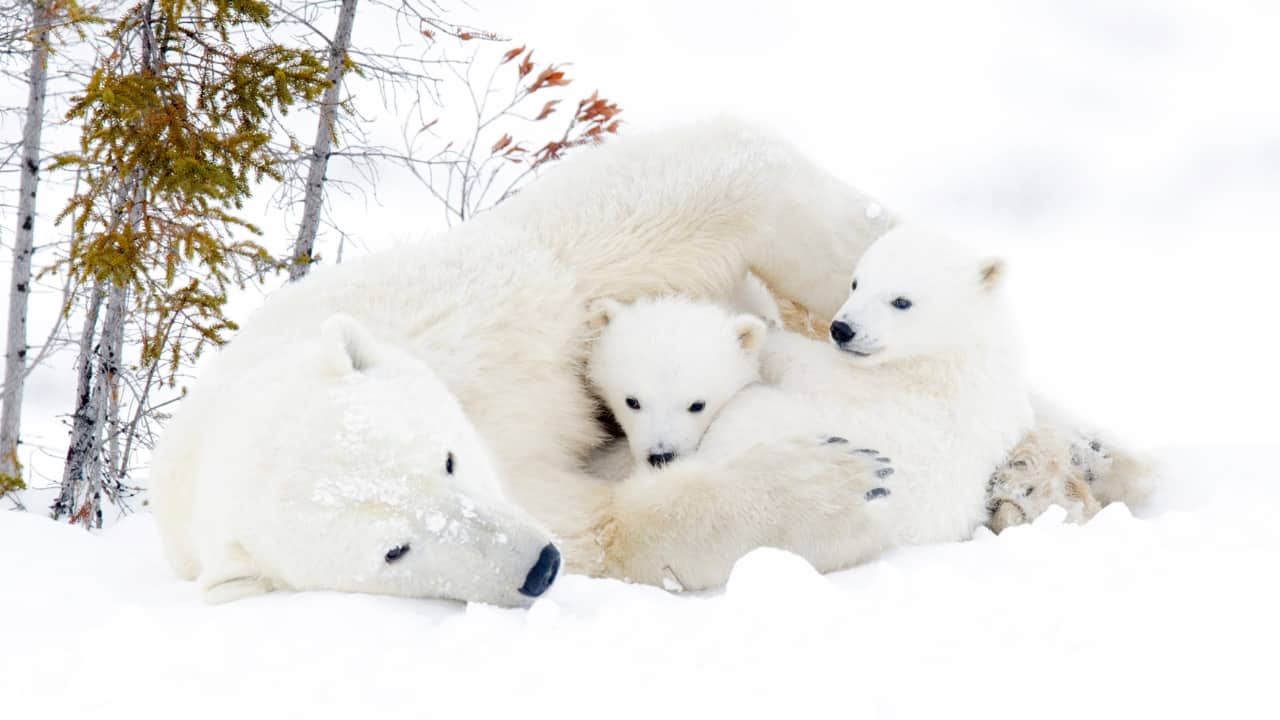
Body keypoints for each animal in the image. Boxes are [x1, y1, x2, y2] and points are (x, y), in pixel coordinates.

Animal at [149, 118, 902, 605]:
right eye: (395, 549)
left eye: (447, 460)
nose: (538, 566)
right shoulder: (532, 499)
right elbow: (612, 528)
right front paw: (837, 482)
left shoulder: (484, 305)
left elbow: (686, 196)